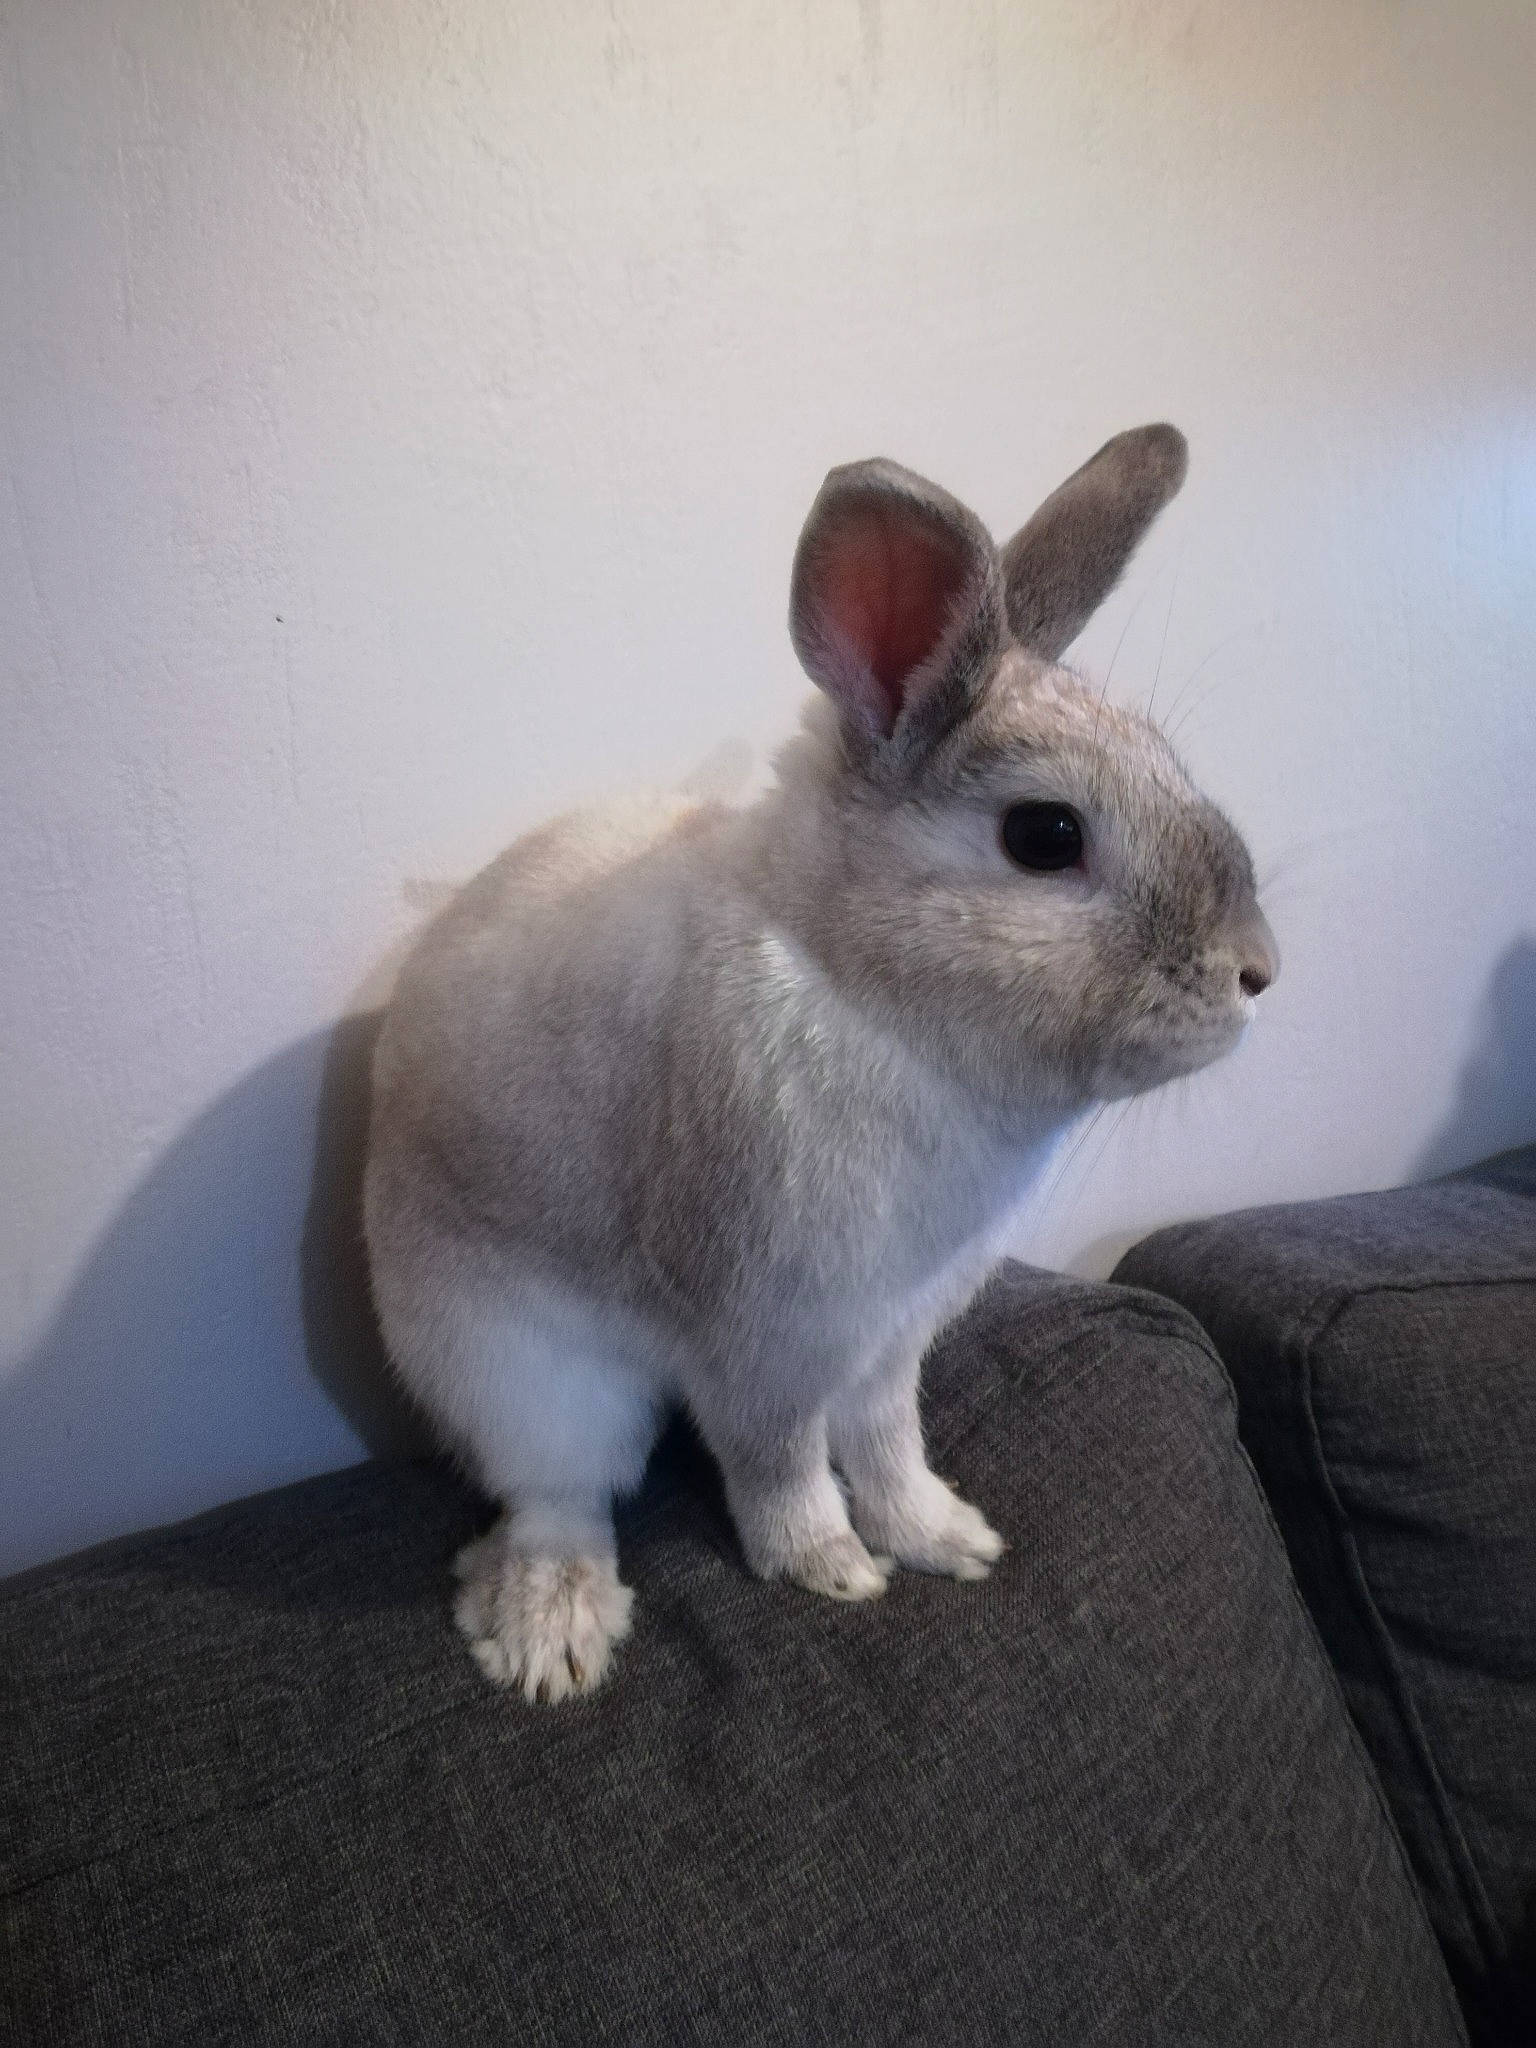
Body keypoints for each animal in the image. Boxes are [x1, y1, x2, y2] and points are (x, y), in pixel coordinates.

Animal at [363, 423, 1277, 1704]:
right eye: (1045, 836)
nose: (1259, 972)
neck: (860, 984)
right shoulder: (769, 1333)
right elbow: (779, 1458)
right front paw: (831, 1568)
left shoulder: (894, 1332)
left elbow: (889, 1438)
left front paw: (947, 1537)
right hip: (522, 1374)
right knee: (557, 1496)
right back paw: (553, 1635)